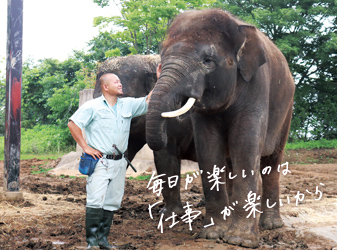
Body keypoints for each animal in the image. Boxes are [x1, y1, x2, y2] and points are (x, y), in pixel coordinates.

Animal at [146, 9, 296, 248]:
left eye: (208, 61)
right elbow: (208, 148)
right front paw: (212, 235)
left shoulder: (257, 84)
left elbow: (245, 146)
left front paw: (240, 241)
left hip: (287, 110)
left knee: (271, 163)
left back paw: (271, 225)